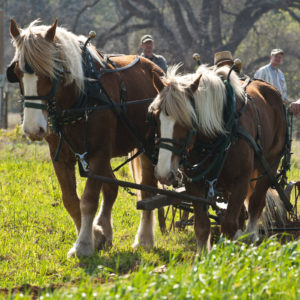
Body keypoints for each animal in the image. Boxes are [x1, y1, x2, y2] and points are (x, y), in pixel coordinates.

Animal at [8, 19, 164, 258]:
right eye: (16, 72)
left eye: (52, 72)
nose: (33, 129)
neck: (79, 97)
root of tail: (155, 69)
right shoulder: (62, 155)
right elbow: (71, 200)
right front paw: (95, 236)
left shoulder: (98, 153)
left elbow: (89, 200)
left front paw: (83, 245)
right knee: (112, 188)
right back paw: (105, 229)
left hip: (147, 145)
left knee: (147, 190)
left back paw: (144, 239)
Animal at [149, 65, 286, 253]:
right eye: (156, 118)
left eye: (188, 120)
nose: (163, 173)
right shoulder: (194, 184)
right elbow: (201, 226)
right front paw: (203, 256)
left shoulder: (241, 181)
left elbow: (228, 225)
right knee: (240, 214)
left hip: (269, 166)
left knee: (255, 204)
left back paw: (250, 236)